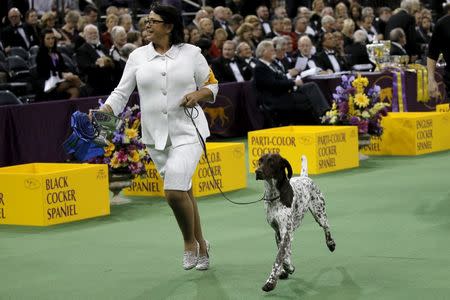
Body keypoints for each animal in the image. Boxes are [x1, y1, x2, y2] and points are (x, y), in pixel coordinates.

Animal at [255, 154, 336, 292]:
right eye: (260, 161)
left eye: (271, 162)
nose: (257, 171)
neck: (274, 195)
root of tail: (304, 177)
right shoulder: (278, 232)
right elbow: (284, 254)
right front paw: (286, 269)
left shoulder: (286, 232)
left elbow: (278, 258)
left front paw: (271, 282)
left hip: (320, 214)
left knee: (327, 227)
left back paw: (331, 244)